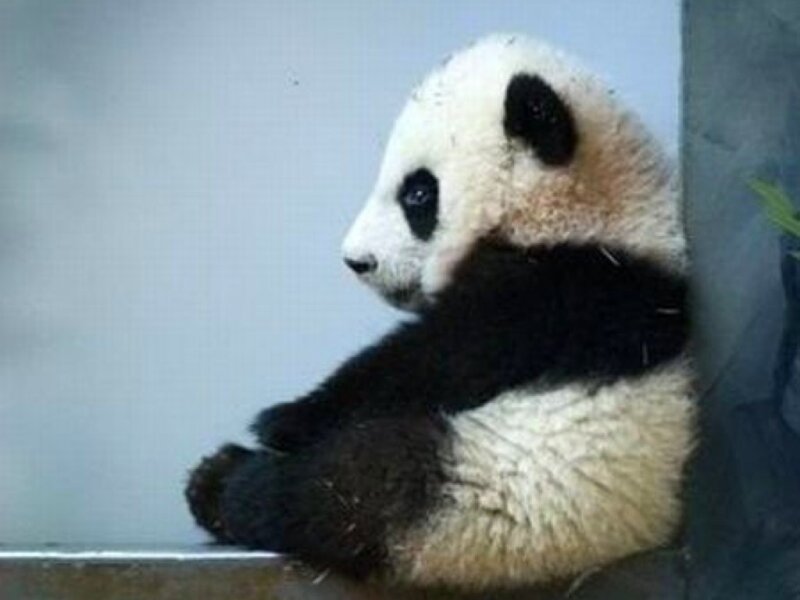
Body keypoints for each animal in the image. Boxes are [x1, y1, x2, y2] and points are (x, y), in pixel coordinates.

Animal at [185, 34, 694, 590]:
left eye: (417, 193)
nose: (356, 261)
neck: (590, 211)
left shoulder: (571, 291)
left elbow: (437, 359)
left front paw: (285, 418)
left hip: (491, 488)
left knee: (352, 486)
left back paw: (222, 483)